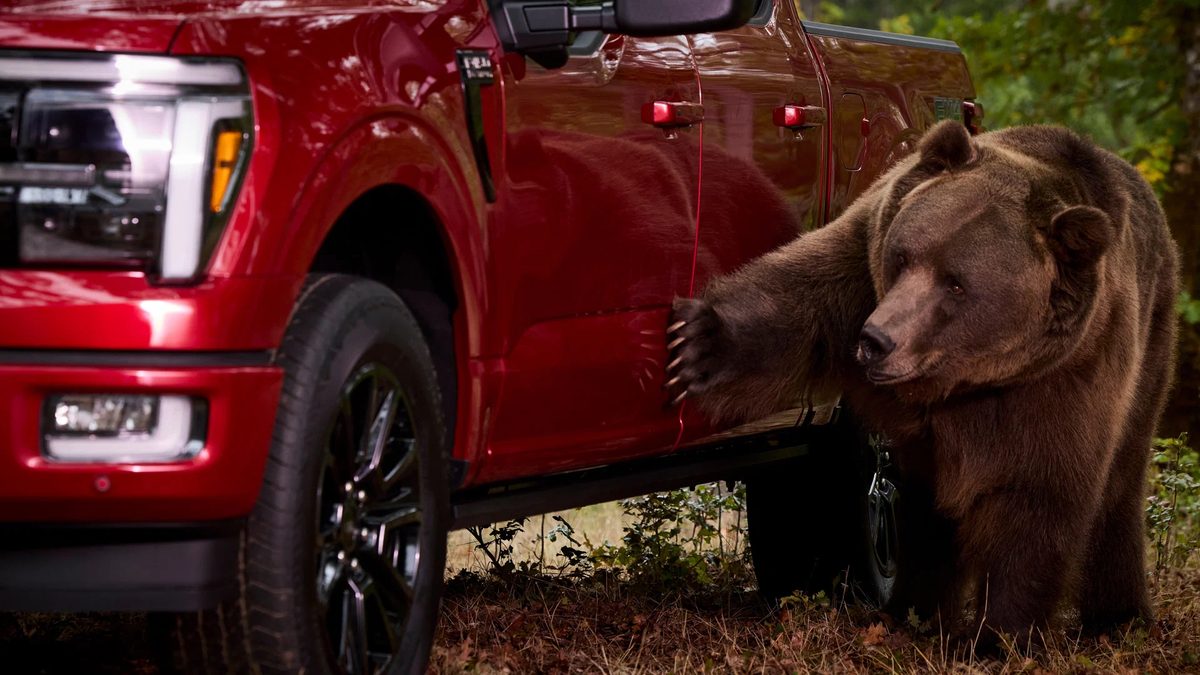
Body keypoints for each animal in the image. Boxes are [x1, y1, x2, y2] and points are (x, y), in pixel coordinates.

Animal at [666, 120, 1179, 647]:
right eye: (904, 256)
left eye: (956, 283)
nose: (876, 340)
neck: (956, 379)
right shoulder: (860, 273)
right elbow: (794, 307)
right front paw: (697, 343)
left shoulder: (1062, 377)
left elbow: (1036, 495)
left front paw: (1000, 635)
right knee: (924, 510)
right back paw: (912, 610)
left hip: (1151, 344)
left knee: (1120, 485)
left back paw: (1120, 617)